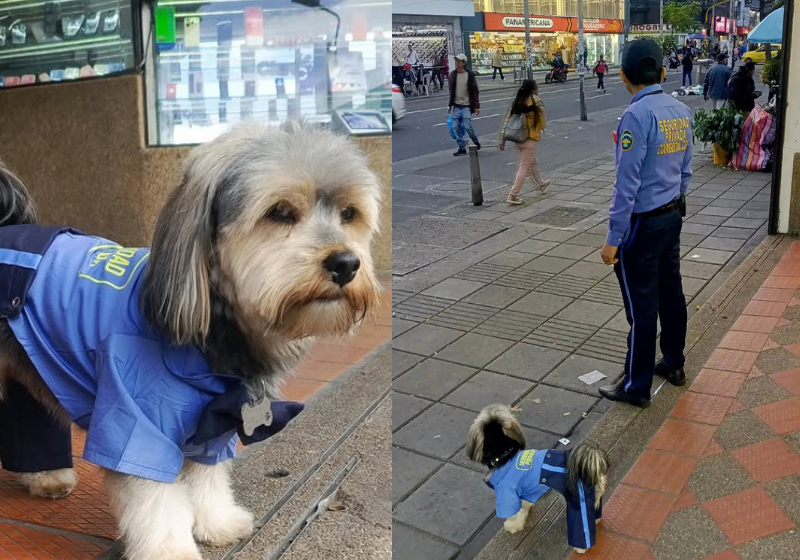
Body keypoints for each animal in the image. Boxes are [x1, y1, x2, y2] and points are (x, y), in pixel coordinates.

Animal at [0, 122, 384, 560]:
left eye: (348, 214)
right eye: (280, 212)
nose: (346, 264)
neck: (214, 331)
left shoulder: (216, 421)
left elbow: (206, 481)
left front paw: (217, 523)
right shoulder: (139, 424)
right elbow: (157, 503)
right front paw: (171, 550)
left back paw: (46, 476)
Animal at [466, 404, 608, 552]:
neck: (504, 453)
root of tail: (590, 464)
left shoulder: (508, 495)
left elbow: (515, 513)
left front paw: (513, 525)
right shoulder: (523, 493)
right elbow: (524, 506)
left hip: (578, 502)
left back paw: (580, 549)